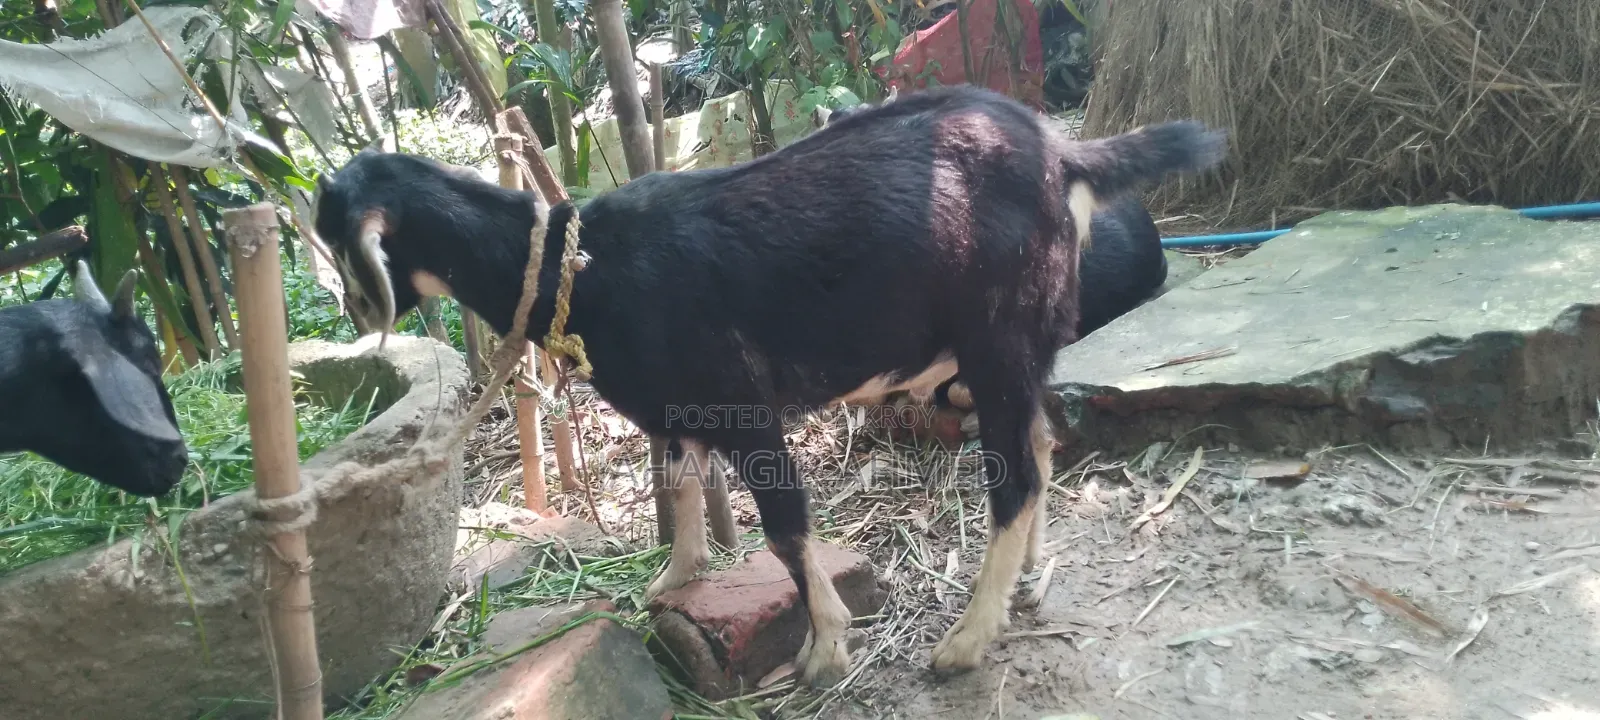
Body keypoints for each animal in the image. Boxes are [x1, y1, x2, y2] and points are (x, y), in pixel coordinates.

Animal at [311, 84, 1225, 684]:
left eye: (344, 246)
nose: (354, 311)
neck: (586, 265)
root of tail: (1062, 152)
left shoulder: (741, 407)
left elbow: (785, 531)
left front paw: (825, 648)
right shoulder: (674, 409)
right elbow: (679, 486)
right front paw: (674, 581)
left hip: (998, 333)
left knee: (1016, 475)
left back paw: (966, 641)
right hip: (1018, 345)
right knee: (1036, 442)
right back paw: (1026, 578)